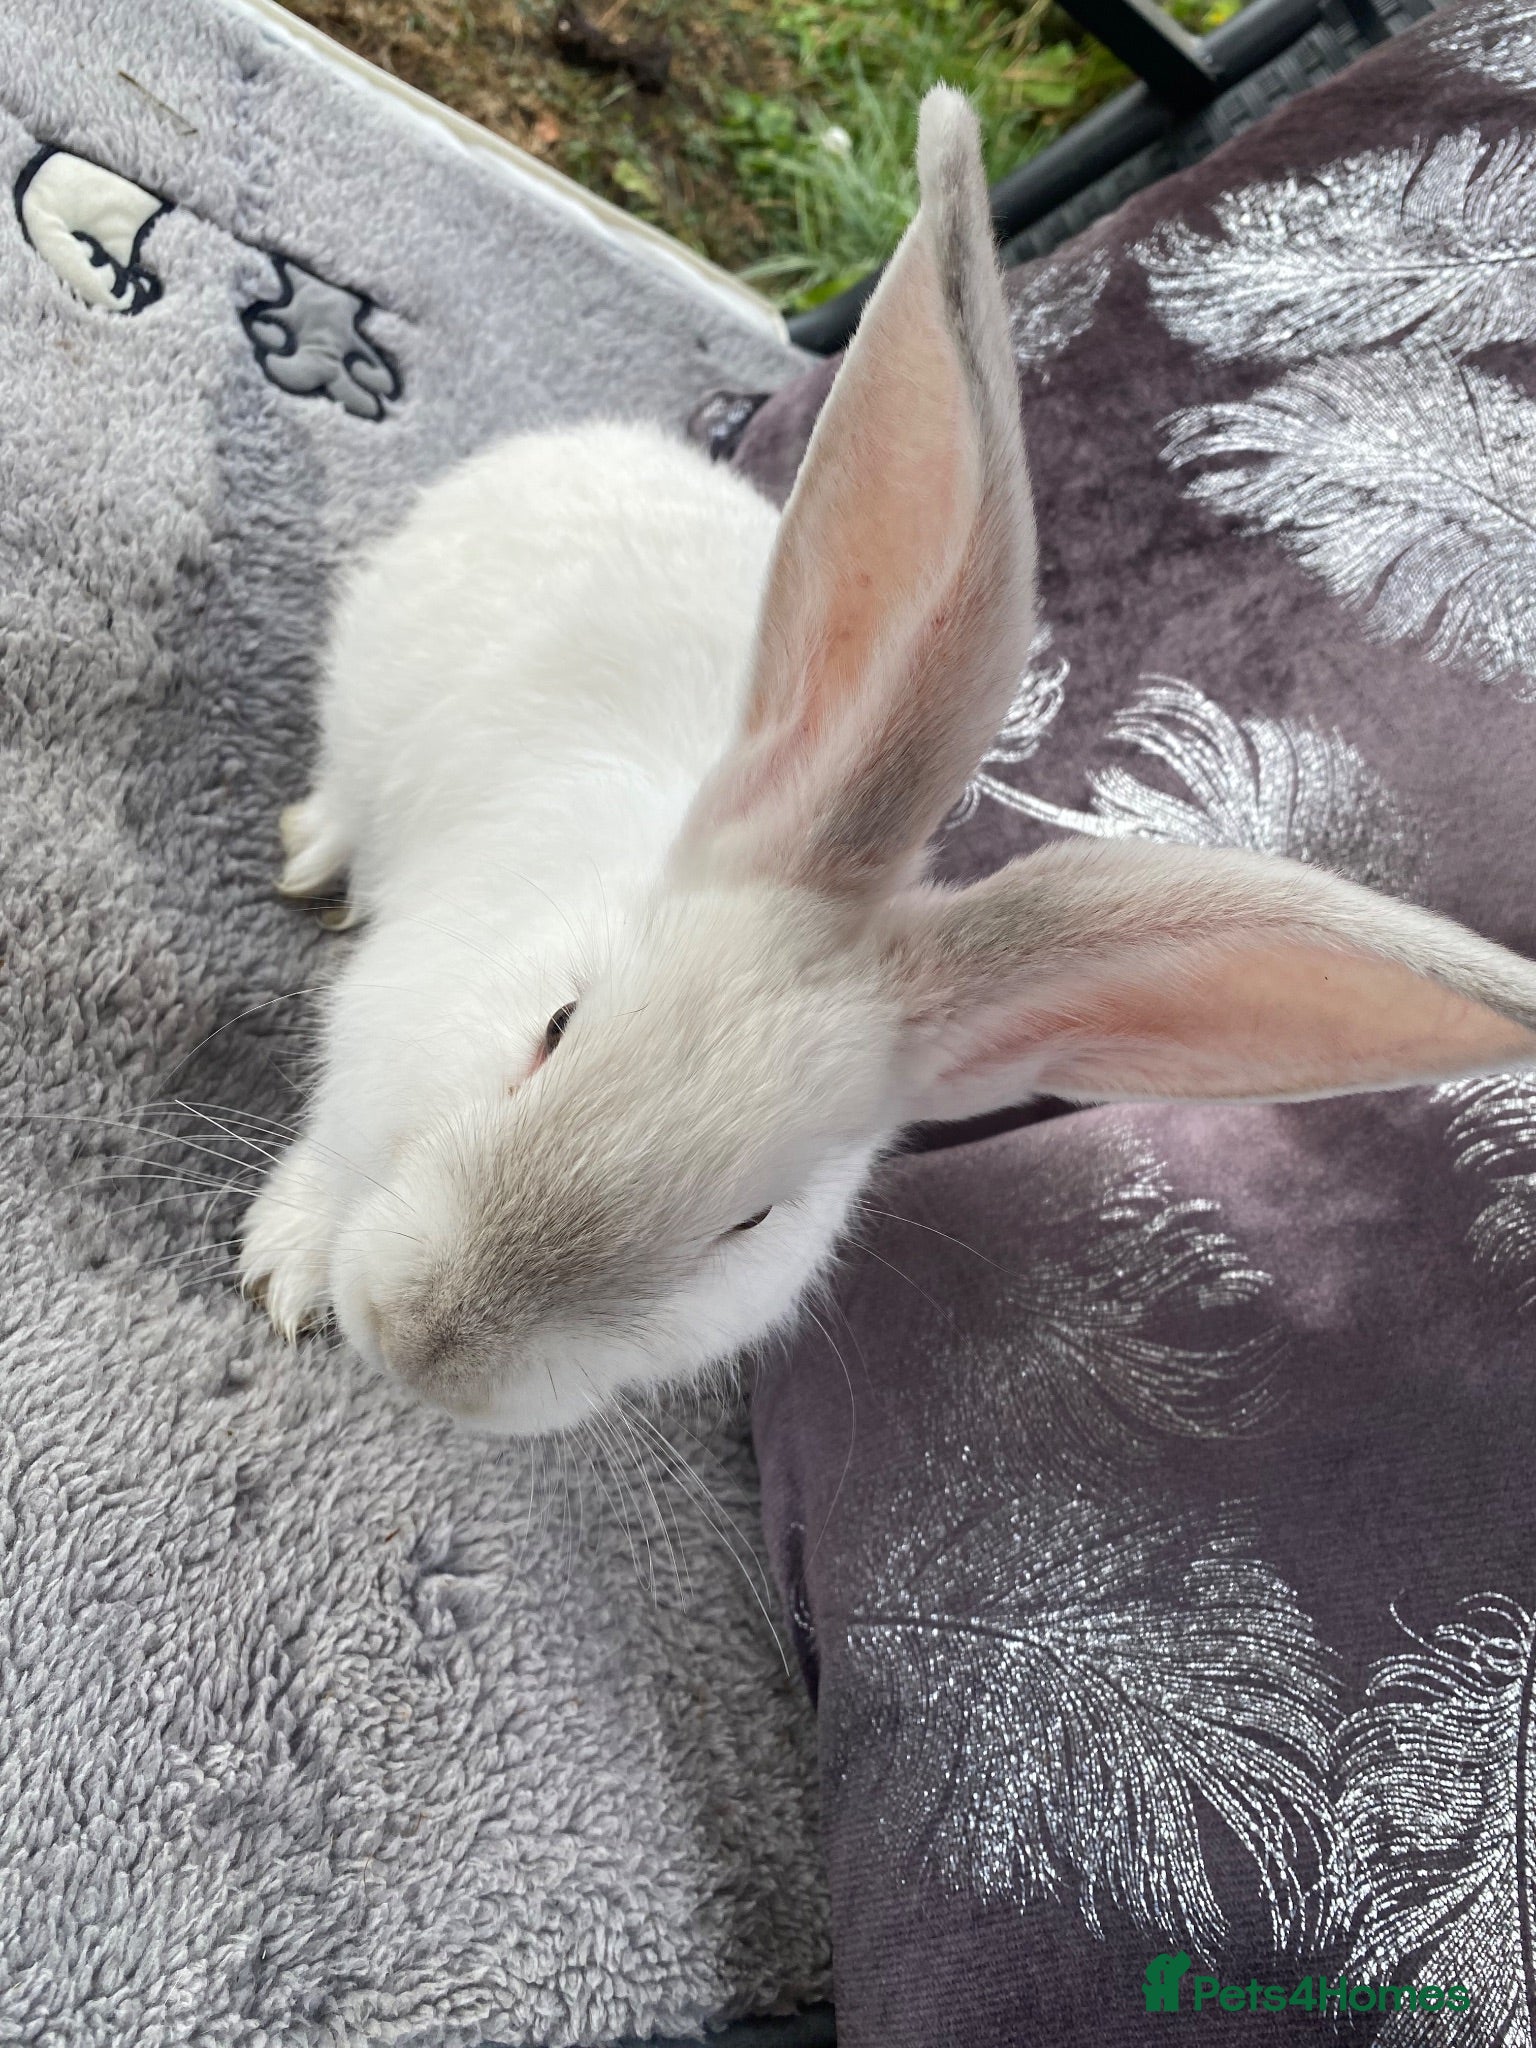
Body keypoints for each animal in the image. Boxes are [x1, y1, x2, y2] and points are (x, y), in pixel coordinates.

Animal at [241, 85, 1536, 1437]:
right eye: (556, 1021)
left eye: (754, 1219)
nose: (427, 1342)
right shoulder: (368, 1048)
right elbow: (327, 1150)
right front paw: (287, 1269)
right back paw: (316, 851)